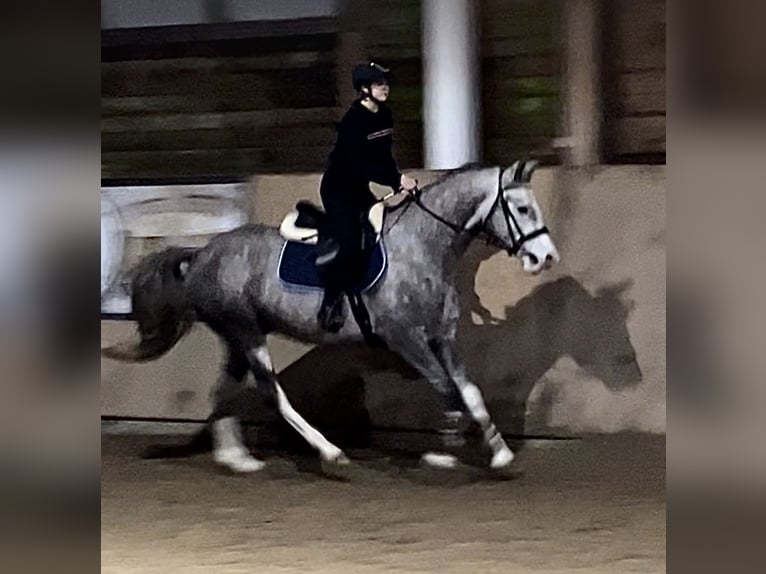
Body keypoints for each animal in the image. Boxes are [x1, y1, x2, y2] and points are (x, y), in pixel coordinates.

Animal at [103, 161, 560, 472]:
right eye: (521, 209)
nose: (545, 257)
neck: (423, 247)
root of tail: (201, 253)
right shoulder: (406, 339)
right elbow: (448, 391)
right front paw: (441, 454)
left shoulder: (441, 340)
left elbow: (470, 393)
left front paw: (500, 453)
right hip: (246, 331)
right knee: (272, 393)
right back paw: (329, 452)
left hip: (237, 335)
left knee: (224, 391)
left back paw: (237, 459)